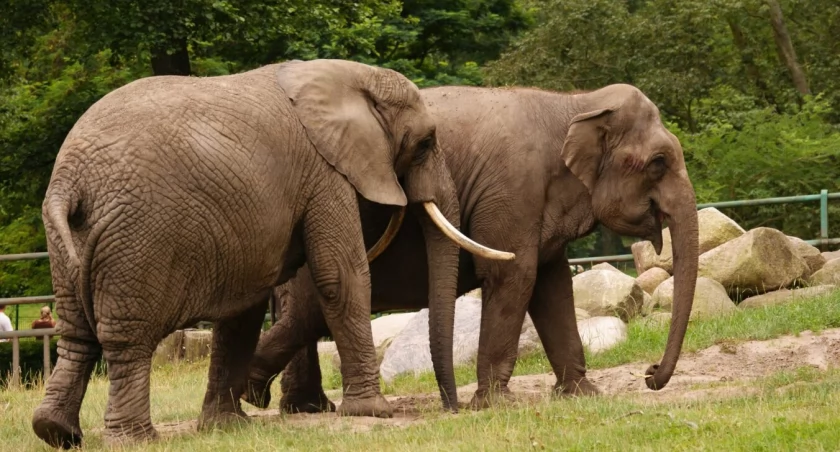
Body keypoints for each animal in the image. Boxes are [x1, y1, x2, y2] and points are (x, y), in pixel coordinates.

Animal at [32, 59, 508, 448]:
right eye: (426, 142)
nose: (452, 409)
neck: (348, 76)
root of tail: (69, 182)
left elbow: (242, 306)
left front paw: (227, 427)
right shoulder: (324, 173)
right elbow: (341, 276)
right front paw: (375, 412)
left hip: (71, 242)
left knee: (76, 335)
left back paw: (56, 432)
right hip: (137, 241)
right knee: (126, 341)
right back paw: (135, 439)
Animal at [243, 82, 704, 414]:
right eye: (658, 163)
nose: (649, 374)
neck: (575, 102)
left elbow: (552, 285)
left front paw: (583, 394)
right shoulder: (512, 190)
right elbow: (515, 275)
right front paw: (496, 404)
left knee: (305, 319)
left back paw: (298, 407)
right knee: (308, 313)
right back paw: (257, 396)